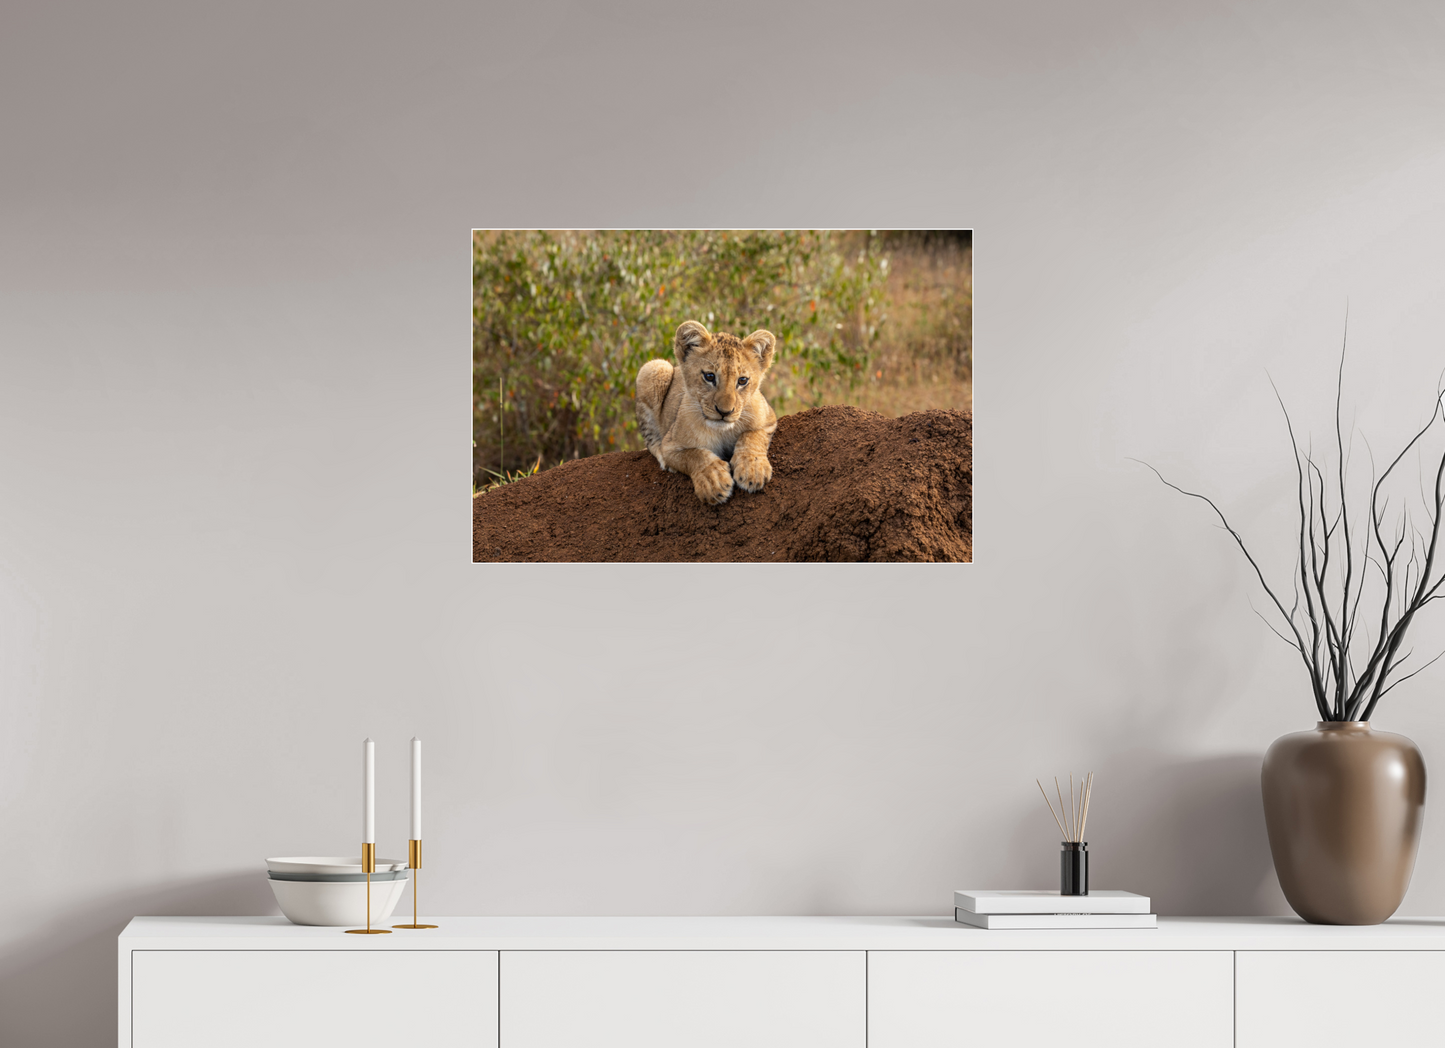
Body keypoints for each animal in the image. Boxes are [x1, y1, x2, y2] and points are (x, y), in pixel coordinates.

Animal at [635, 320, 778, 505]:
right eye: (709, 377)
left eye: (742, 380)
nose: (725, 412)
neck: (722, 431)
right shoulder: (671, 446)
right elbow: (695, 455)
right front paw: (714, 480)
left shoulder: (769, 418)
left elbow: (752, 436)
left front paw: (752, 469)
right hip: (654, 368)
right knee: (650, 438)